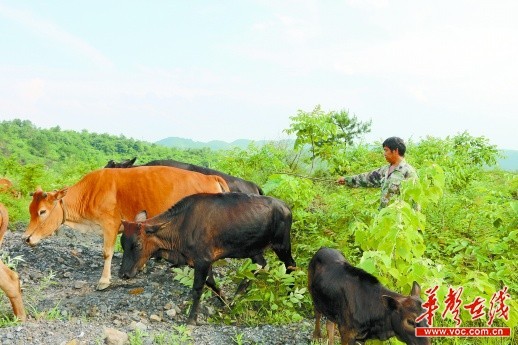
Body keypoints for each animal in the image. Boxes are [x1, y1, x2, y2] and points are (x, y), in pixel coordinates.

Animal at [22, 165, 230, 288]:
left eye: (42, 212)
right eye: (30, 210)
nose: (26, 238)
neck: (89, 193)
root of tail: (212, 177)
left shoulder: (110, 225)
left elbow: (107, 253)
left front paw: (104, 281)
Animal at [118, 192, 296, 324]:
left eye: (137, 244)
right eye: (122, 243)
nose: (123, 274)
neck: (180, 226)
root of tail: (286, 206)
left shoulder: (202, 261)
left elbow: (197, 288)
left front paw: (191, 319)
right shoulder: (204, 261)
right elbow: (211, 283)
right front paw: (225, 302)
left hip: (282, 245)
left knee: (291, 265)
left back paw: (290, 294)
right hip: (253, 249)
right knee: (261, 265)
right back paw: (236, 298)